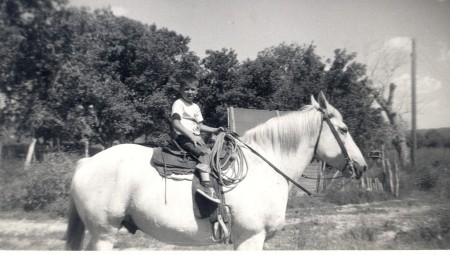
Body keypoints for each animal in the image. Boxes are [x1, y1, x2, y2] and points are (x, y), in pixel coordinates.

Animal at [66, 92, 366, 251]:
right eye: (343, 130)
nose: (362, 167)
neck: (264, 168)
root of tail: (87, 163)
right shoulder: (251, 239)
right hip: (104, 234)